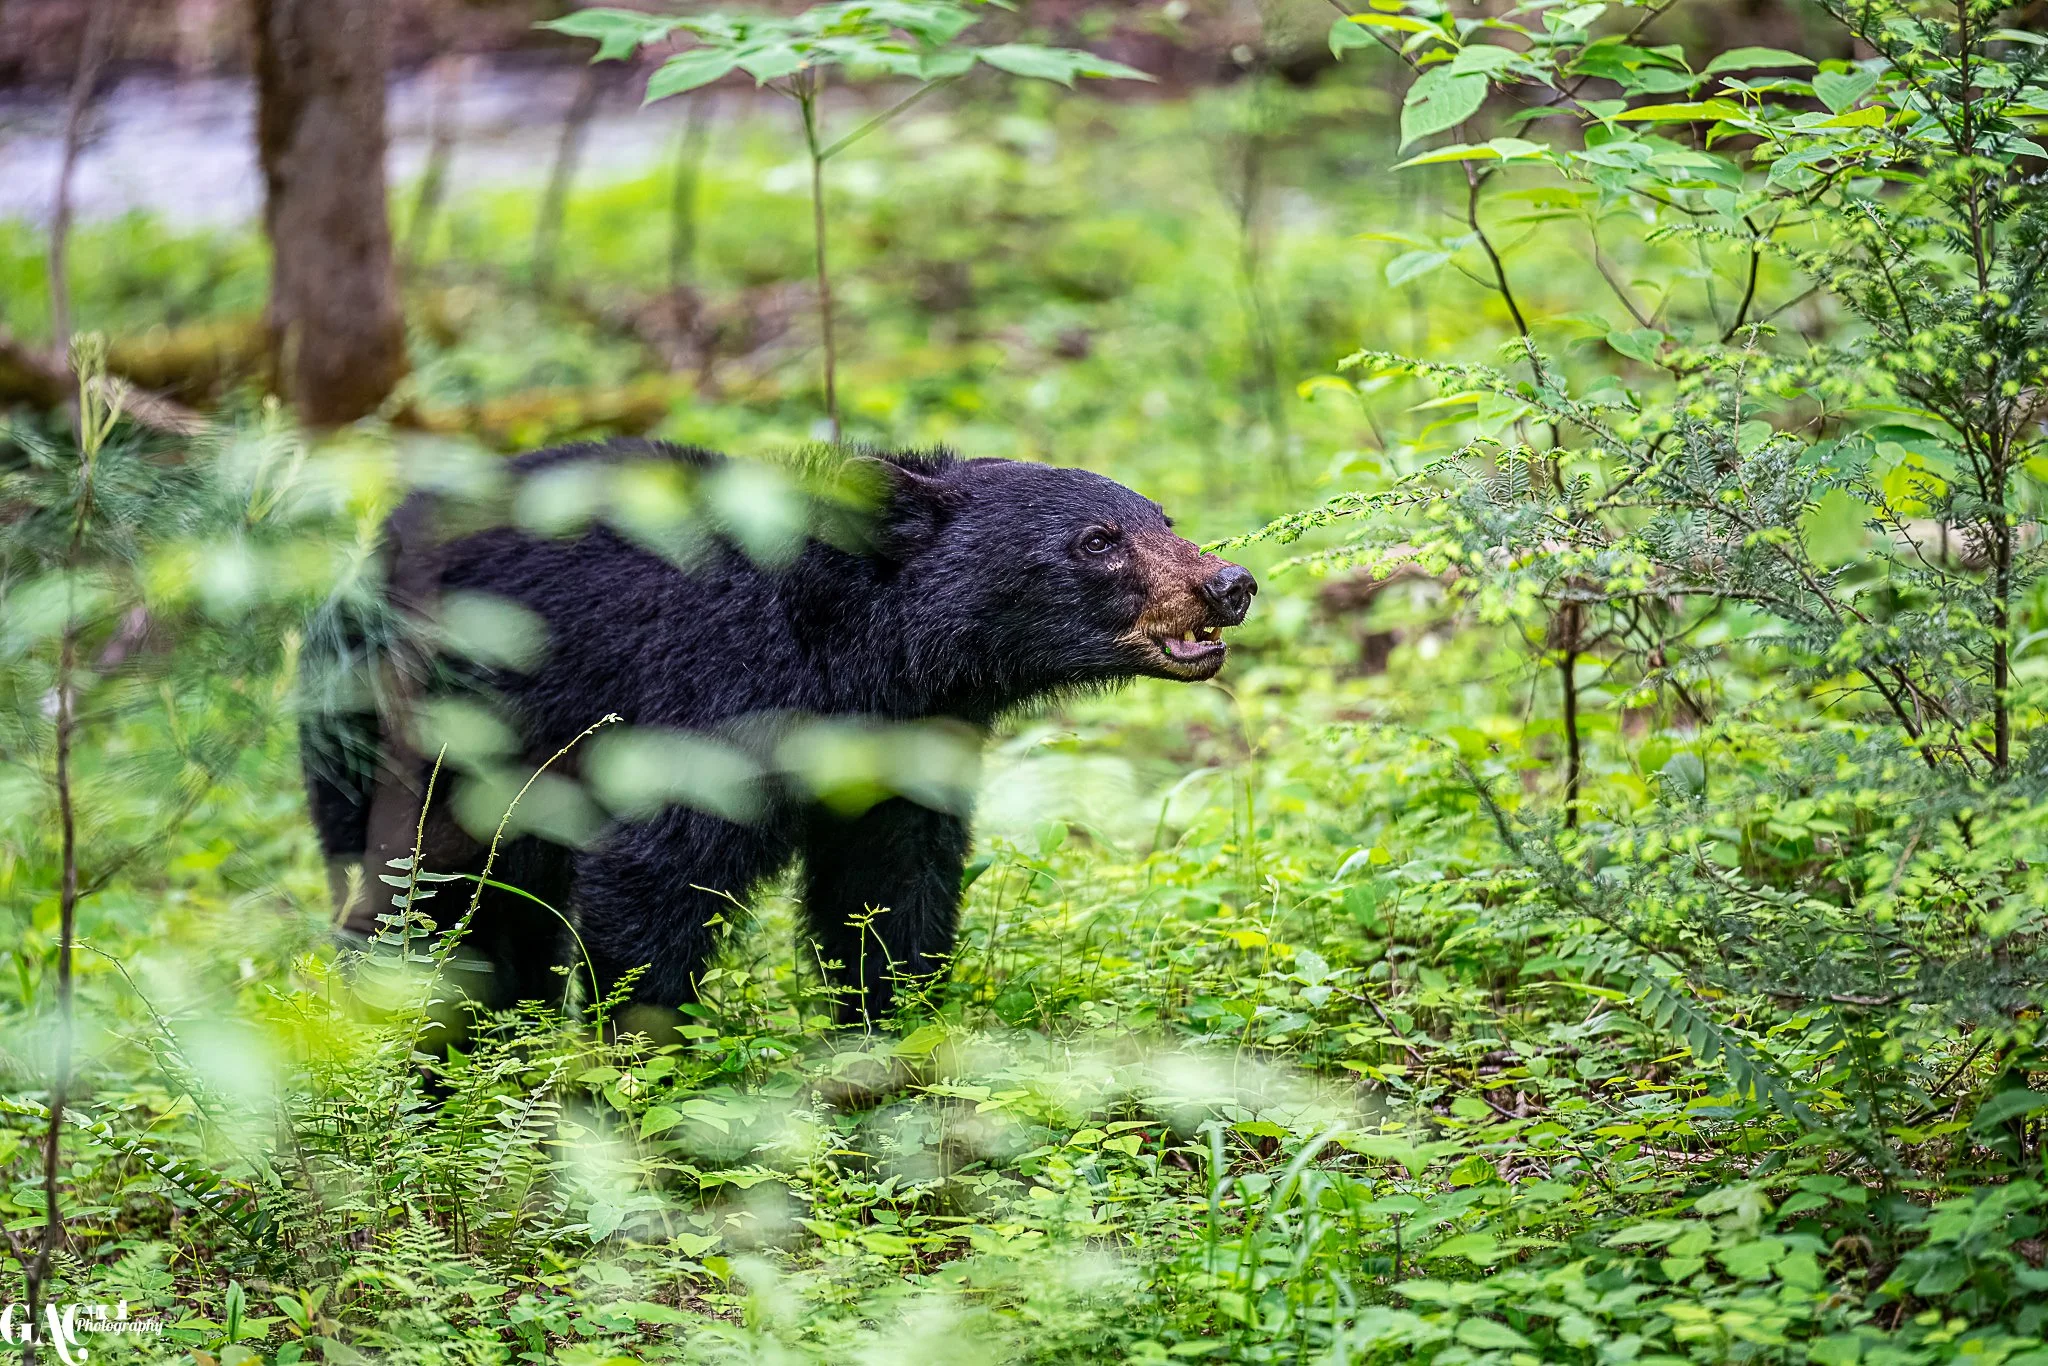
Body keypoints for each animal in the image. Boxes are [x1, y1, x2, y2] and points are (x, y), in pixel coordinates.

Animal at [300, 439, 1255, 1022]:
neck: (847, 652)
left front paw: (888, 1029)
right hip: (405, 737)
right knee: (412, 904)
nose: (1230, 583)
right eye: (1098, 540)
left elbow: (892, 889)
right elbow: (652, 880)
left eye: (1165, 520)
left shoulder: (899, 744)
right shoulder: (709, 697)